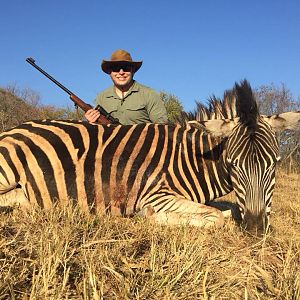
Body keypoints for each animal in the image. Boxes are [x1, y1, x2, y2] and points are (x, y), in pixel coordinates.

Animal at [0, 81, 298, 233]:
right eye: (234, 166)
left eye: (274, 165)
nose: (256, 229)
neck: (192, 158)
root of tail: (14, 128)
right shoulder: (156, 195)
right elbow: (215, 217)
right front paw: (149, 216)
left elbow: (228, 210)